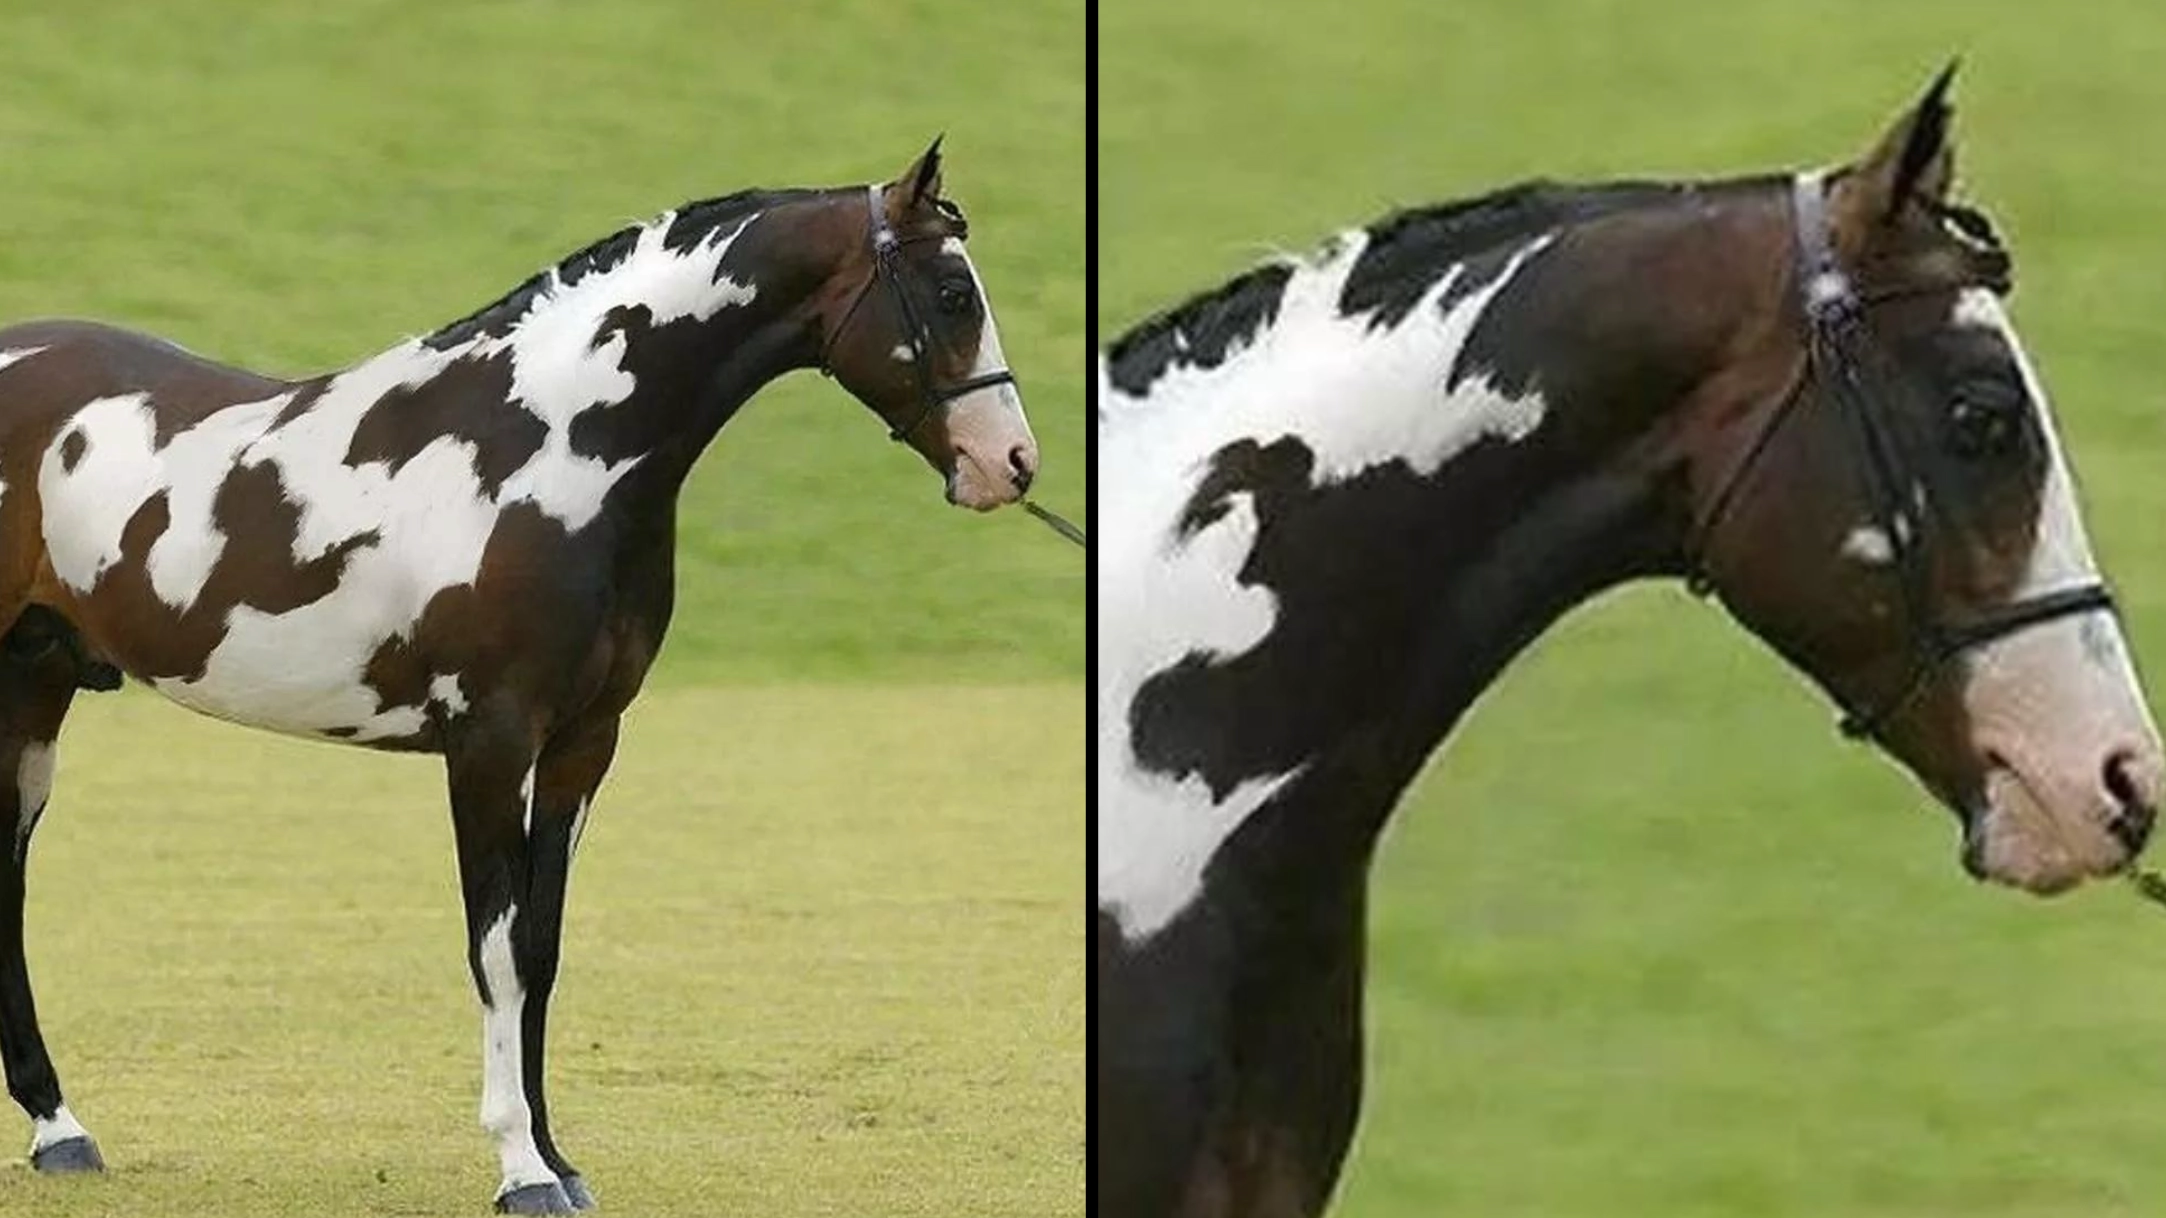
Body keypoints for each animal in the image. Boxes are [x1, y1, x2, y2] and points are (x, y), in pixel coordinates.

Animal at [0, 138, 1040, 1213]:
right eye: (954, 293)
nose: (1011, 462)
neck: (552, 453)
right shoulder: (489, 745)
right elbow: (495, 950)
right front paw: (520, 1167)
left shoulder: (584, 742)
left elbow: (541, 947)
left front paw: (557, 1156)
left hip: (34, 693)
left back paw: (61, 1130)